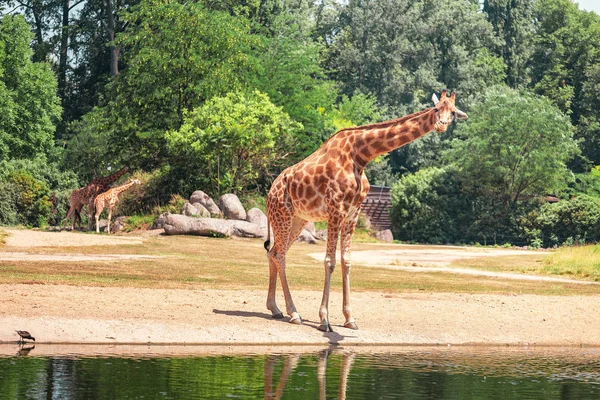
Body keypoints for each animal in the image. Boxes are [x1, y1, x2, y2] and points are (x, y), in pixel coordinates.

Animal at [264, 90, 468, 332]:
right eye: (437, 108)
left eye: (453, 112)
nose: (441, 125)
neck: (361, 155)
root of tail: (269, 192)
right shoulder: (335, 209)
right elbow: (330, 261)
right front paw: (325, 320)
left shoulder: (352, 213)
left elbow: (347, 262)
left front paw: (349, 318)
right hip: (282, 214)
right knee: (280, 254)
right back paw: (293, 313)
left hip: (298, 219)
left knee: (274, 252)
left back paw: (276, 309)